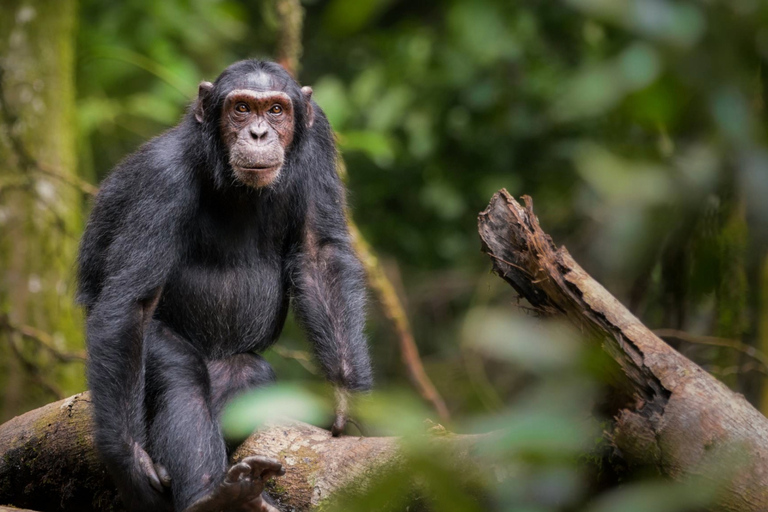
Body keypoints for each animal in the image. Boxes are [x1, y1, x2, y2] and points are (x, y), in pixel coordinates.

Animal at [77, 61, 372, 512]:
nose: (259, 134)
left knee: (245, 374)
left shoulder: (319, 137)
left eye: (275, 110)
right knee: (179, 374)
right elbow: (130, 304)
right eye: (241, 108)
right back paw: (211, 496)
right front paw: (131, 461)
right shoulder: (161, 180)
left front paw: (345, 401)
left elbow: (319, 253)